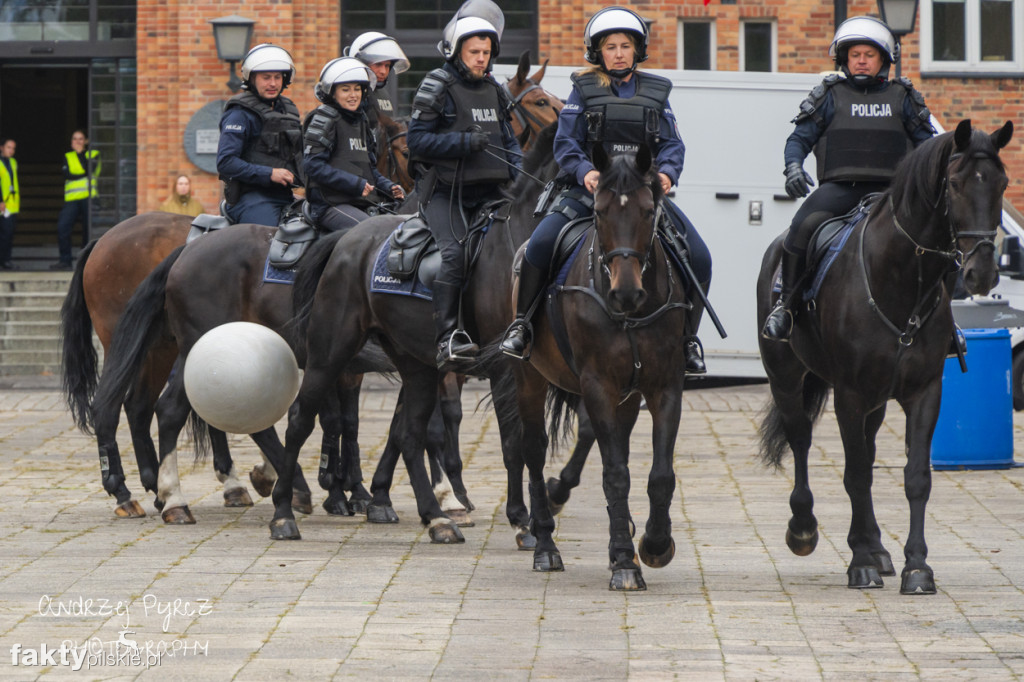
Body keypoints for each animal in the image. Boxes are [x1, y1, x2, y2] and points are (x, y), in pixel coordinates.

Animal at [757, 119, 1011, 593]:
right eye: (955, 183)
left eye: (1002, 183)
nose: (982, 272)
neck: (899, 280)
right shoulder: (850, 395)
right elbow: (855, 473)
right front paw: (859, 563)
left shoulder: (924, 392)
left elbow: (914, 477)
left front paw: (916, 566)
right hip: (786, 377)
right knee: (801, 439)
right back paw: (804, 528)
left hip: (875, 402)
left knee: (868, 454)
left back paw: (877, 547)